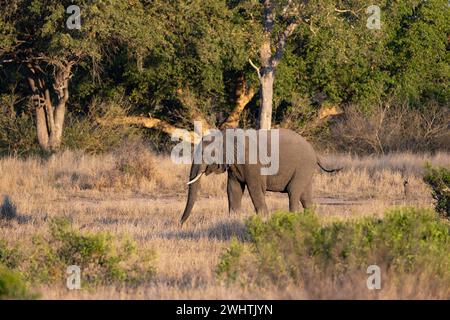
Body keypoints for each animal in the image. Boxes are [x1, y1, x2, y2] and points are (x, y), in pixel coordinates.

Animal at [180, 127, 342, 225]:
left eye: (206, 154)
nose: (180, 223)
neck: (226, 135)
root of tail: (315, 152)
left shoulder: (253, 165)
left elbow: (255, 189)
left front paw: (264, 219)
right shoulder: (234, 165)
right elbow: (233, 189)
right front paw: (233, 220)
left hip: (303, 167)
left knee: (293, 192)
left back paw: (293, 218)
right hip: (305, 170)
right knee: (305, 197)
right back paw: (310, 219)